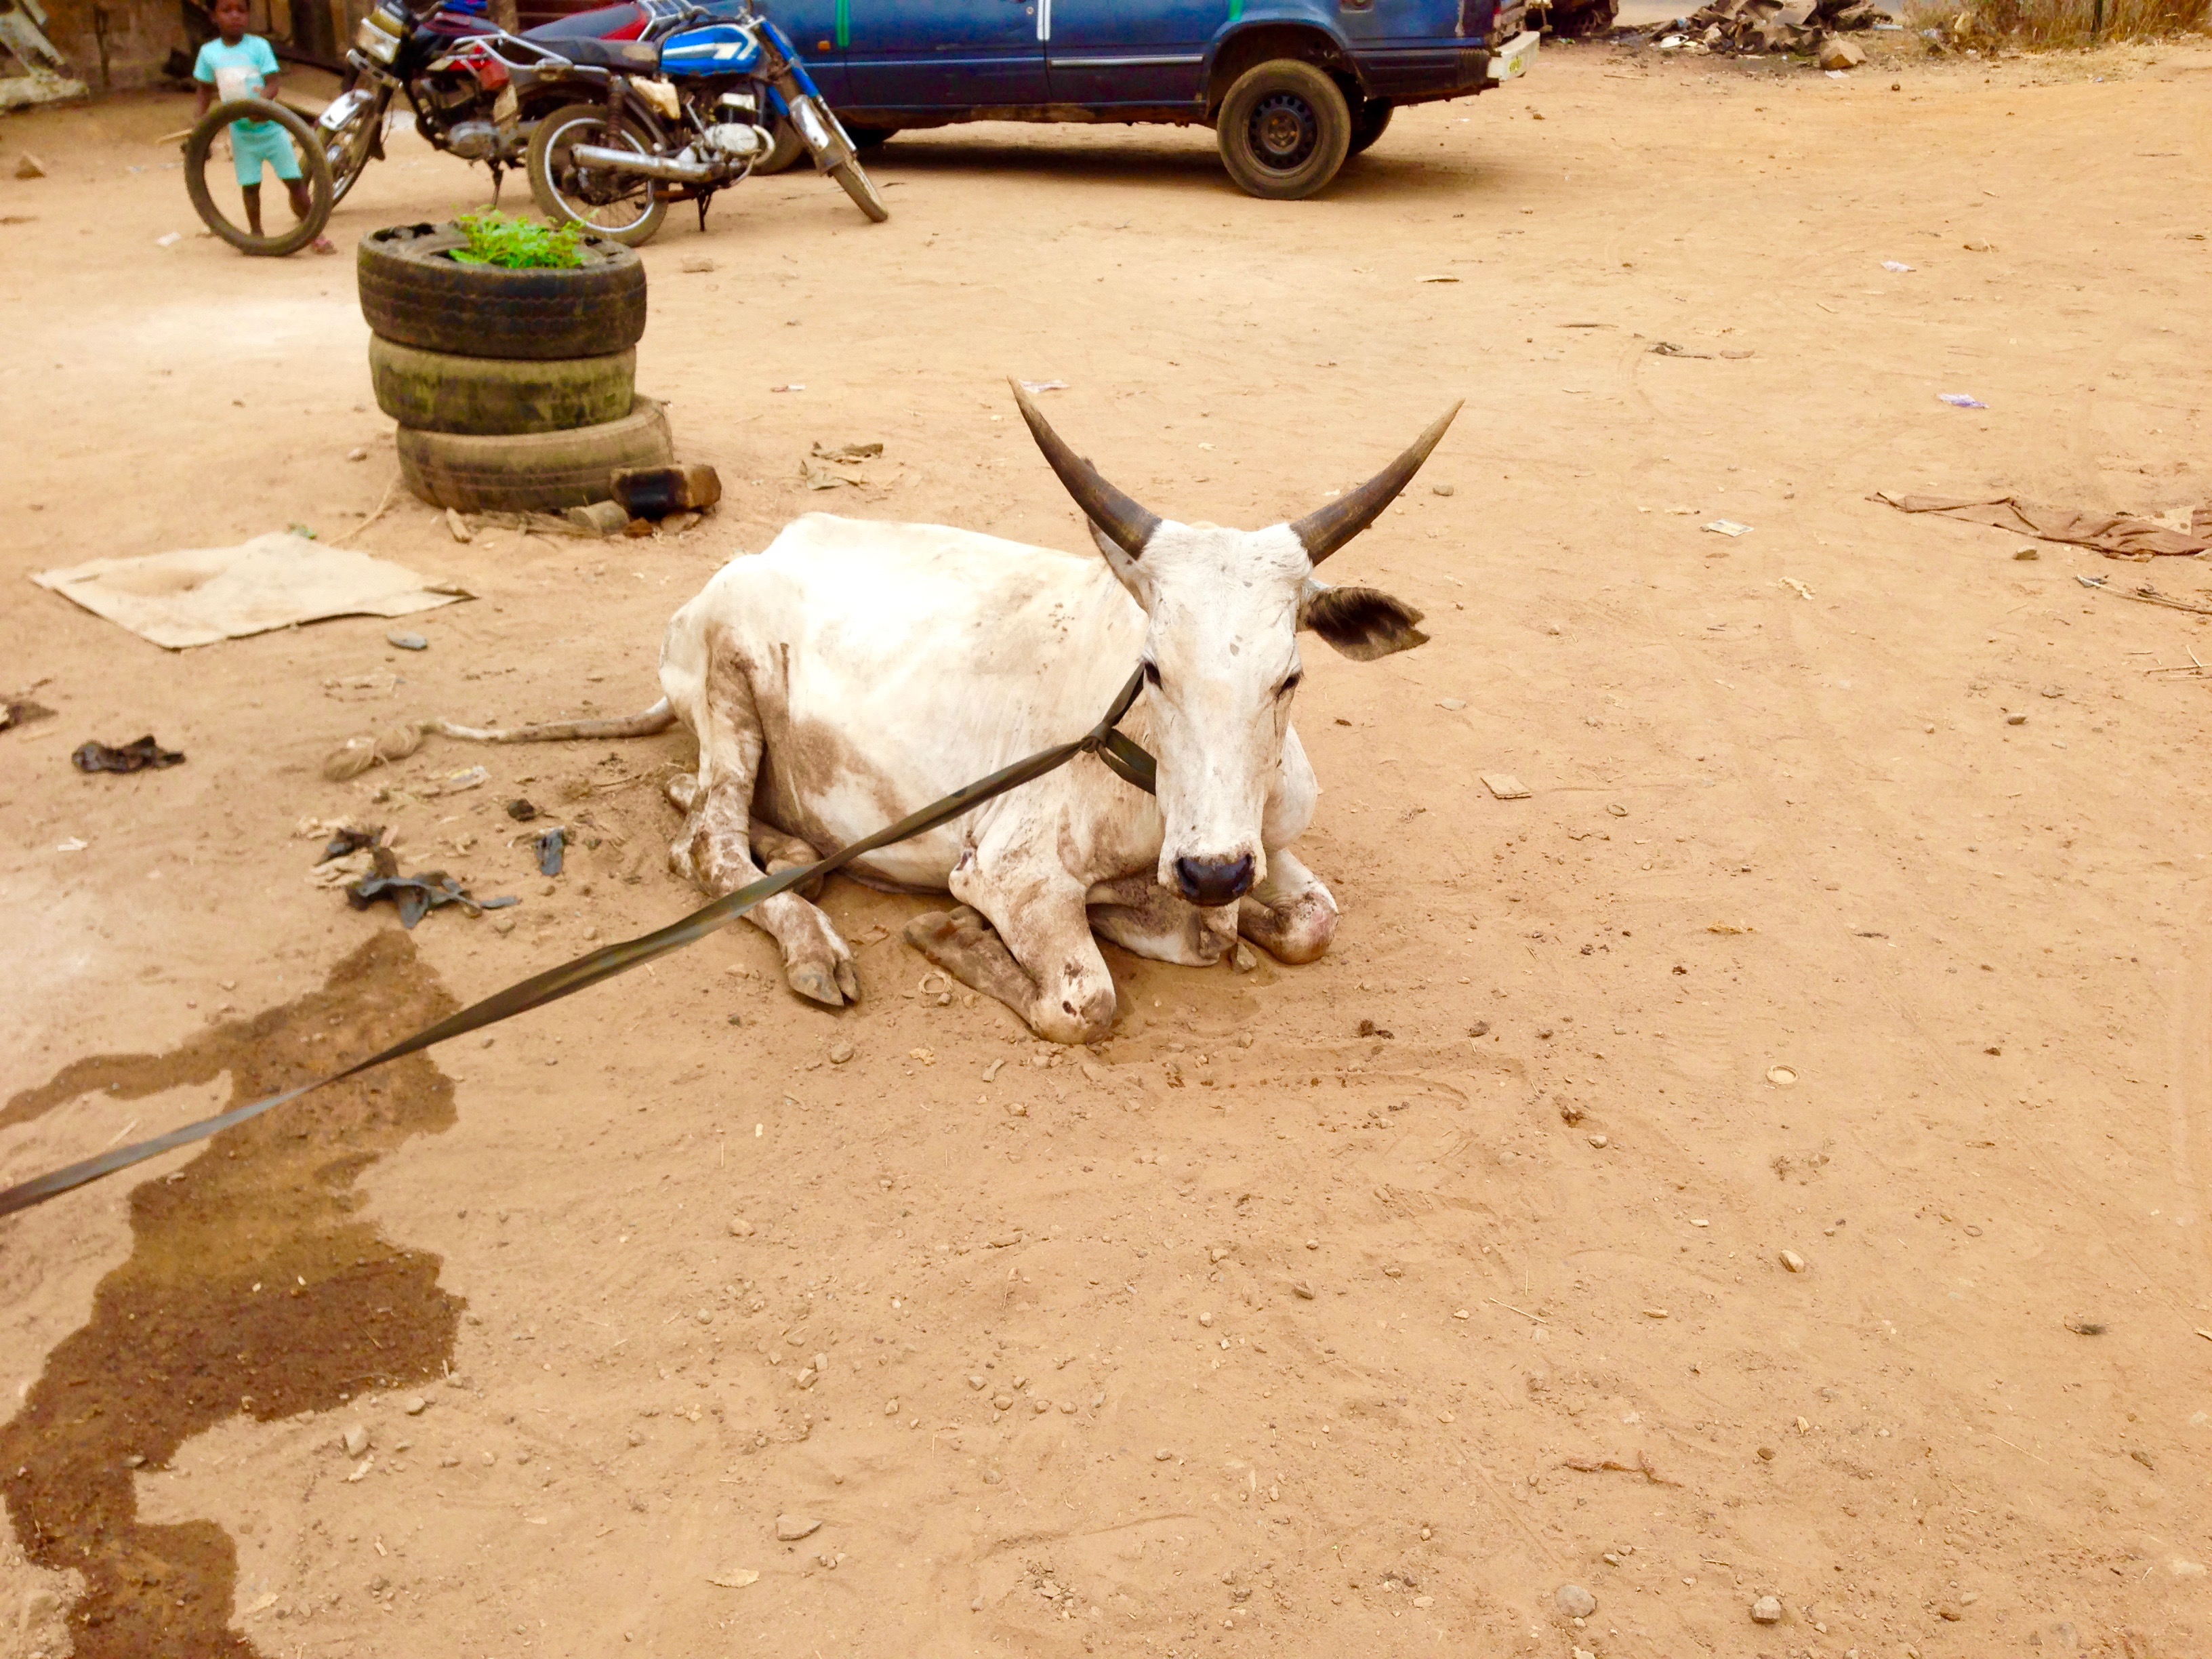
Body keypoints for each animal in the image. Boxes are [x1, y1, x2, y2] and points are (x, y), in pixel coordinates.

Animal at [427, 386, 1456, 1043]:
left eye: (1291, 678)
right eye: (1155, 669)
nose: (1211, 871)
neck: (1148, 770)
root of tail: (733, 573)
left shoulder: (1268, 844)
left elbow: (1310, 921)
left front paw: (1199, 916)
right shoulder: (1014, 873)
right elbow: (1084, 1003)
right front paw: (954, 932)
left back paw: (793, 850)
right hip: (729, 685)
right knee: (705, 848)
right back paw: (810, 936)